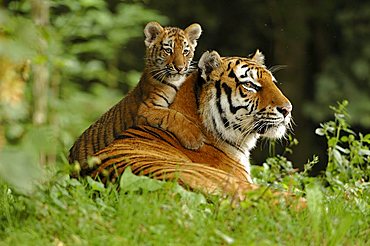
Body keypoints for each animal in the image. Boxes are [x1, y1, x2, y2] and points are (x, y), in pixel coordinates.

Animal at [69, 22, 202, 171]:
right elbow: (172, 115)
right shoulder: (146, 109)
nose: (180, 68)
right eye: (168, 50)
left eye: (185, 51)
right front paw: (194, 138)